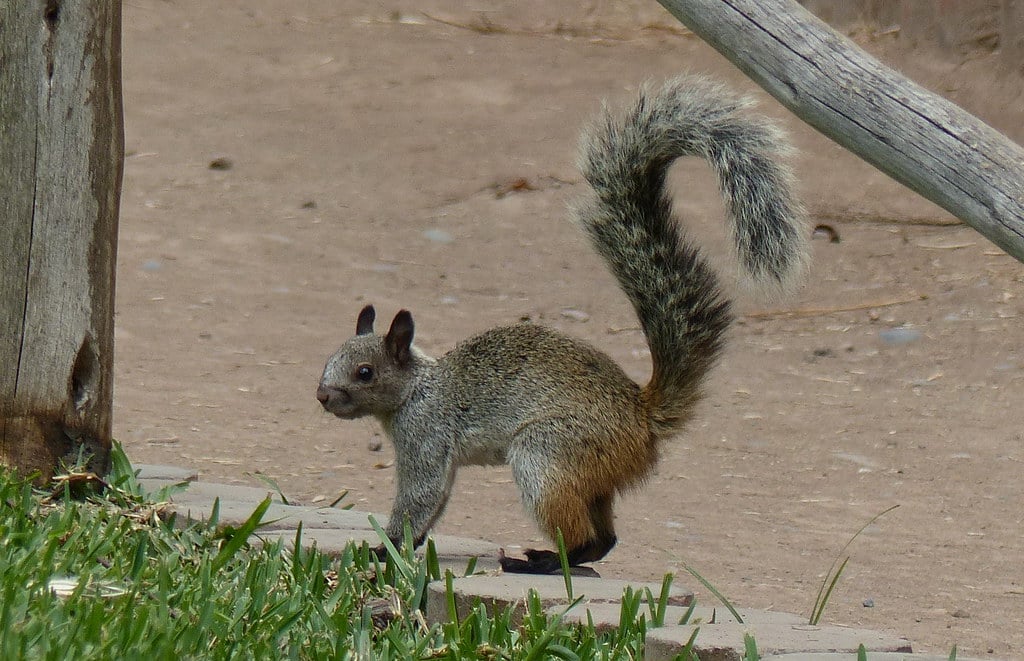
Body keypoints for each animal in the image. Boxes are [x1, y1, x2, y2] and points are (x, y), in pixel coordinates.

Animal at [316, 75, 808, 574]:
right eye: (330, 359)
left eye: (365, 372)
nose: (322, 395)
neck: (419, 388)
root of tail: (642, 417)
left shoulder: (426, 437)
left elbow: (420, 499)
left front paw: (384, 548)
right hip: (589, 475)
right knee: (604, 539)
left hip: (547, 454)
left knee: (579, 533)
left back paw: (539, 561)